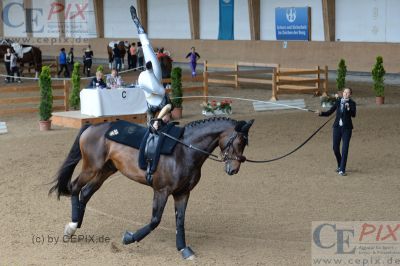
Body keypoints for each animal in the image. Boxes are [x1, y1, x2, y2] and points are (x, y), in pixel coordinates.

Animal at [49, 117, 253, 258]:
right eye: (238, 141)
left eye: (245, 143)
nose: (234, 169)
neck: (183, 151)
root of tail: (91, 127)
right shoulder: (161, 191)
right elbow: (155, 220)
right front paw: (129, 238)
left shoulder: (182, 193)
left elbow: (180, 220)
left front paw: (183, 249)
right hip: (92, 167)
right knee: (75, 187)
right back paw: (72, 227)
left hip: (105, 170)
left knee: (85, 193)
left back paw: (77, 223)